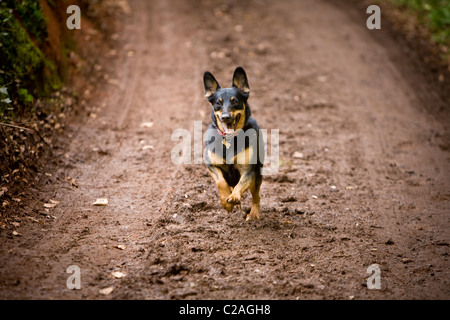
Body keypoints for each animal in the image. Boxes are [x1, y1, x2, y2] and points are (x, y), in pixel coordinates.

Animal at [201, 66, 262, 221]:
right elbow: (221, 182)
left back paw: (253, 214)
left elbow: (240, 185)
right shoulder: (211, 165)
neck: (229, 139)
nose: (225, 117)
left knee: (256, 196)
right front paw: (226, 203)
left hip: (258, 174)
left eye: (235, 102)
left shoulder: (248, 171)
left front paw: (234, 197)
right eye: (218, 103)